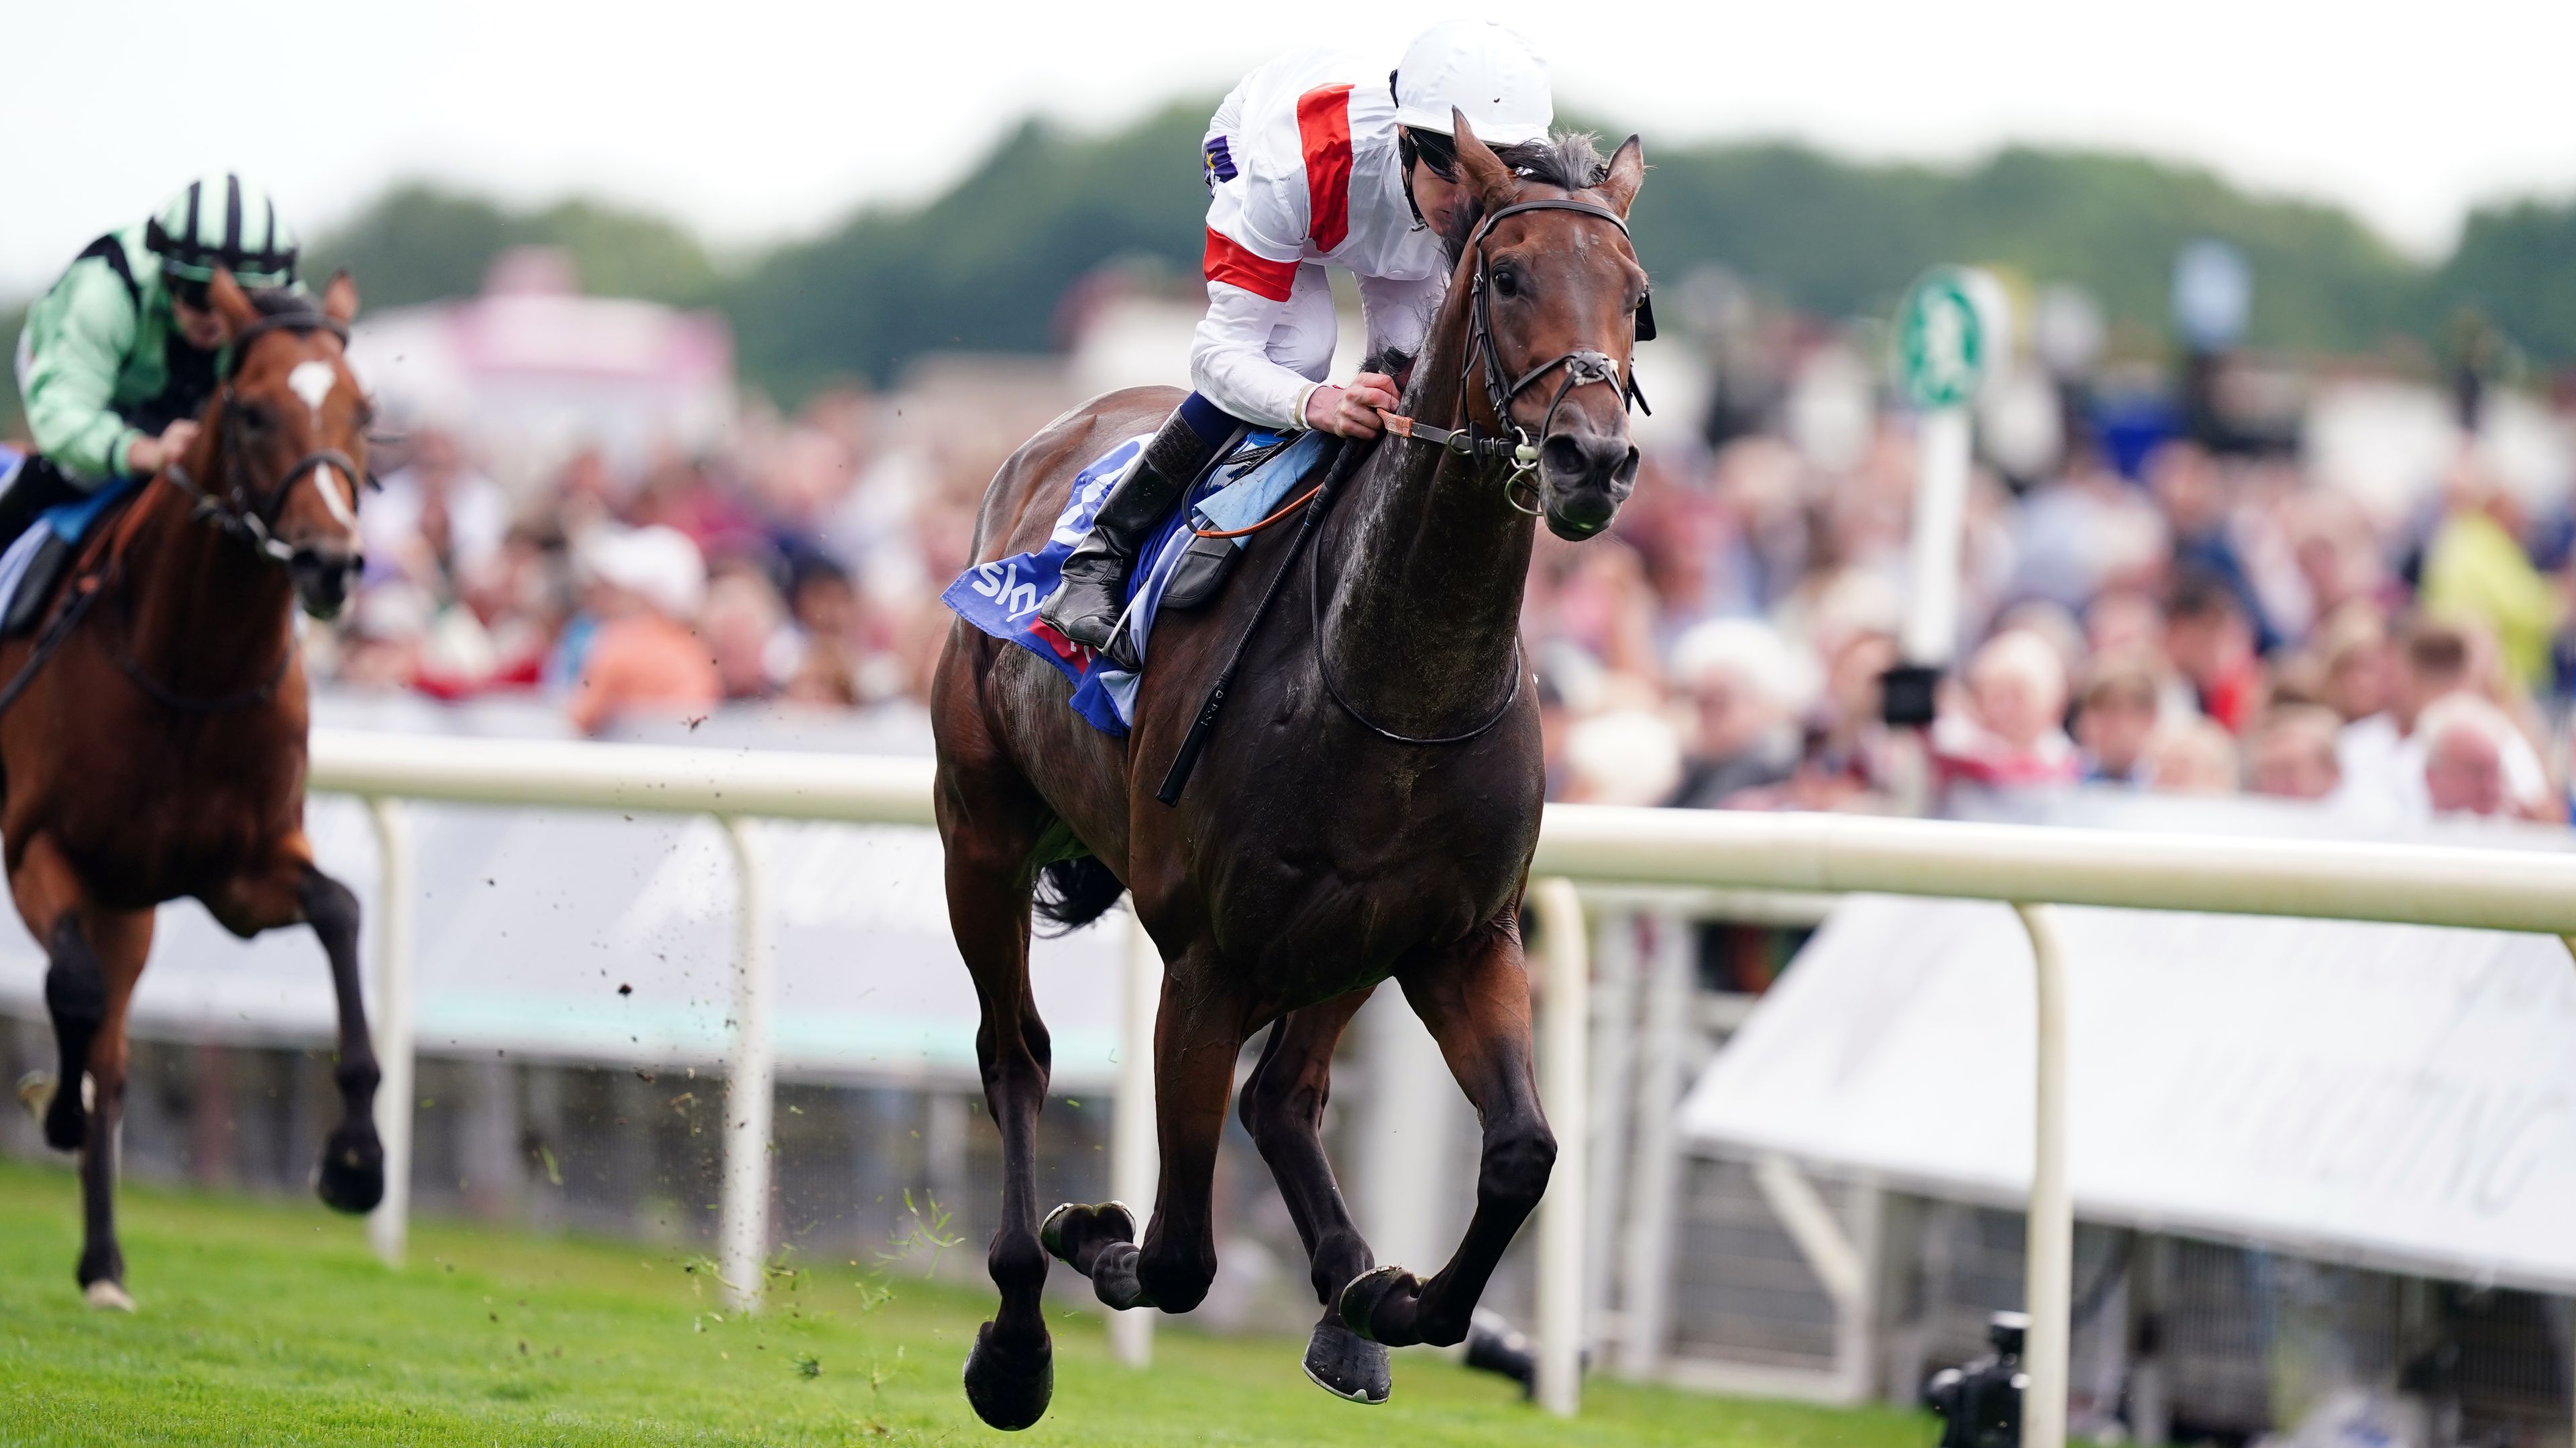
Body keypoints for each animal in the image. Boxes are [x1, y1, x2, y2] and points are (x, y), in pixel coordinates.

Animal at [6, 265, 376, 1303]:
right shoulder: (36, 846)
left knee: (119, 1046)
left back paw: (103, 1262)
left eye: (364, 408)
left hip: (131, 907)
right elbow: (75, 991)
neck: (189, 667)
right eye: (250, 411)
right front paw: (55, 1108)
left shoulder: (239, 872)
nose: (329, 562)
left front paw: (355, 1160)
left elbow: (340, 912)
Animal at [932, 115, 1648, 1422]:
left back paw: (1347, 1302)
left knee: (1283, 1094)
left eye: (1635, 295)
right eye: (1509, 277)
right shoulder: (1205, 960)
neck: (1394, 676)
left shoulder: (1460, 934)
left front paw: (1394, 1299)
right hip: (983, 832)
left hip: (1347, 938)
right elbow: (1174, 1252)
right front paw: (1090, 1228)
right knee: (1016, 1054)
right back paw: (1015, 1336)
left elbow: (1523, 1153)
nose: (1592, 460)